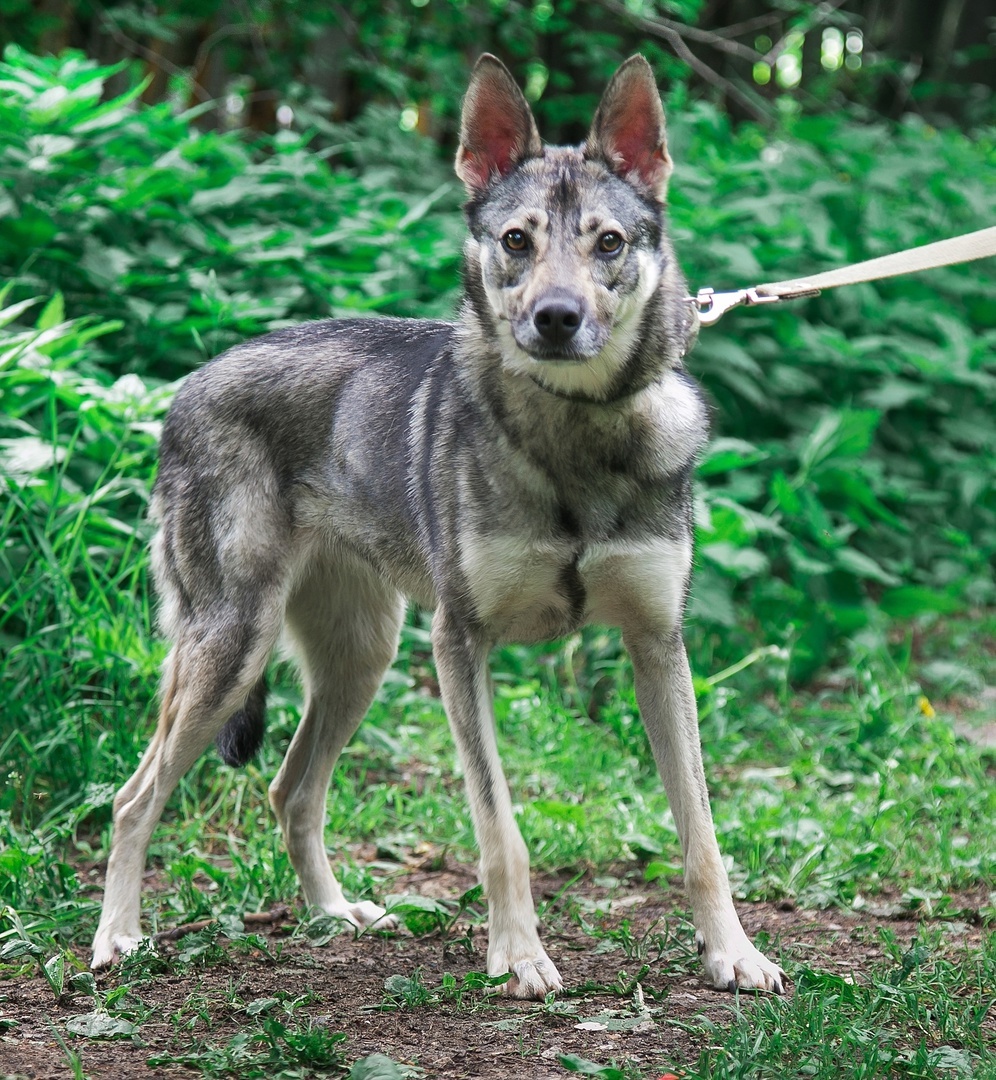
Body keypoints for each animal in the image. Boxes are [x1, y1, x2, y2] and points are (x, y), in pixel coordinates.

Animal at [89, 54, 782, 997]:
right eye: (517, 241)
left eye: (608, 243)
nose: (556, 318)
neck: (576, 438)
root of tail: (187, 385)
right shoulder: (461, 645)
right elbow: (501, 834)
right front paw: (518, 957)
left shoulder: (657, 646)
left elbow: (703, 836)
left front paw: (732, 954)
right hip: (232, 650)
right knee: (134, 799)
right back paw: (116, 939)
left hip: (359, 660)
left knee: (290, 791)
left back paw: (333, 915)